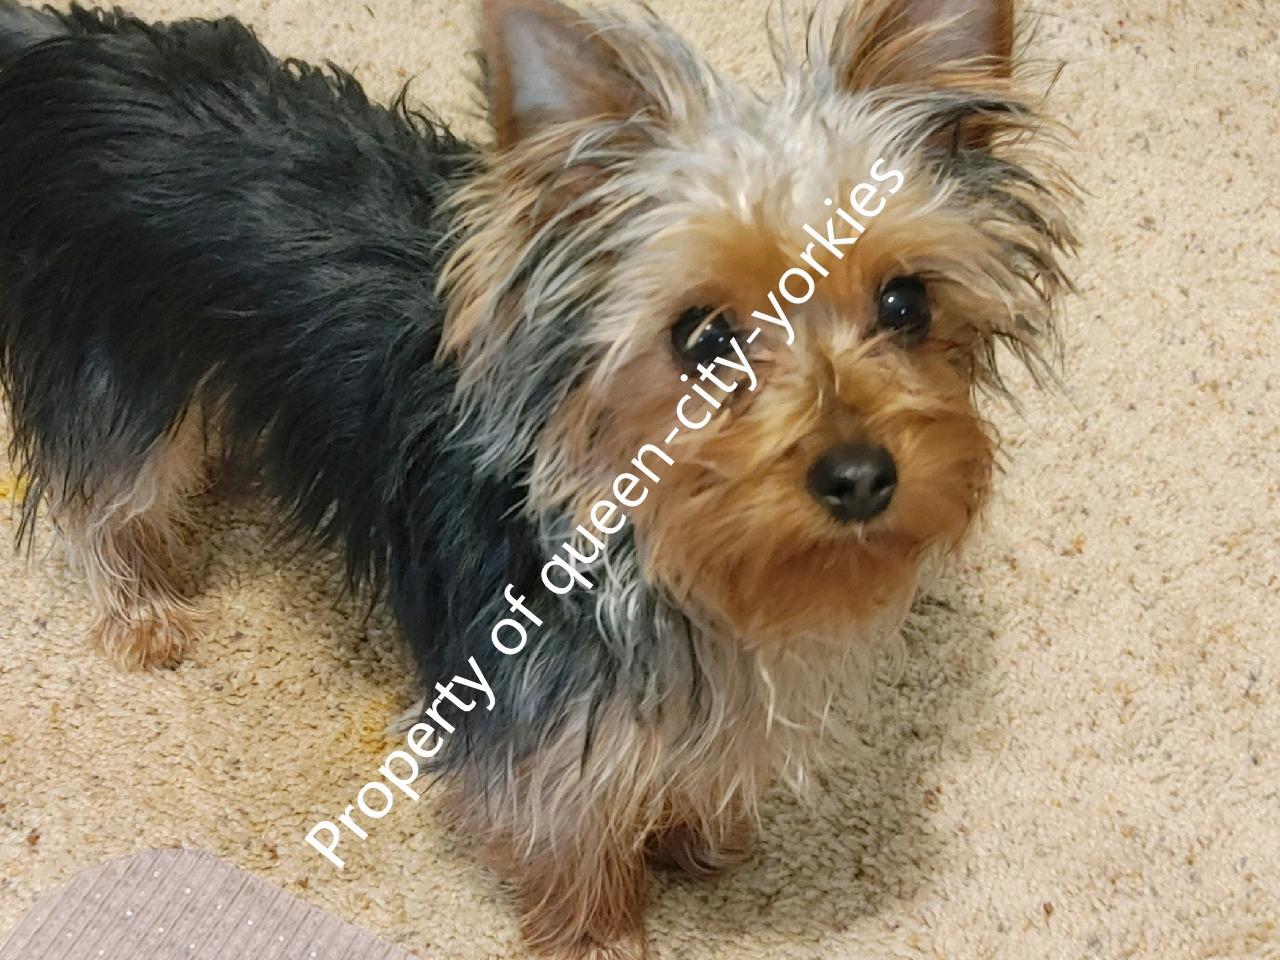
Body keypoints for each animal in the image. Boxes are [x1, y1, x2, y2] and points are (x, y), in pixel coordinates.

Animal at [0, 0, 1076, 955]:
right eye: (702, 337)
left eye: (905, 302)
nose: (859, 476)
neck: (657, 551)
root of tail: (70, 49)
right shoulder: (531, 728)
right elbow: (568, 836)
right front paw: (597, 935)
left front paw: (696, 837)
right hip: (115, 361)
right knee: (108, 495)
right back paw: (143, 609)